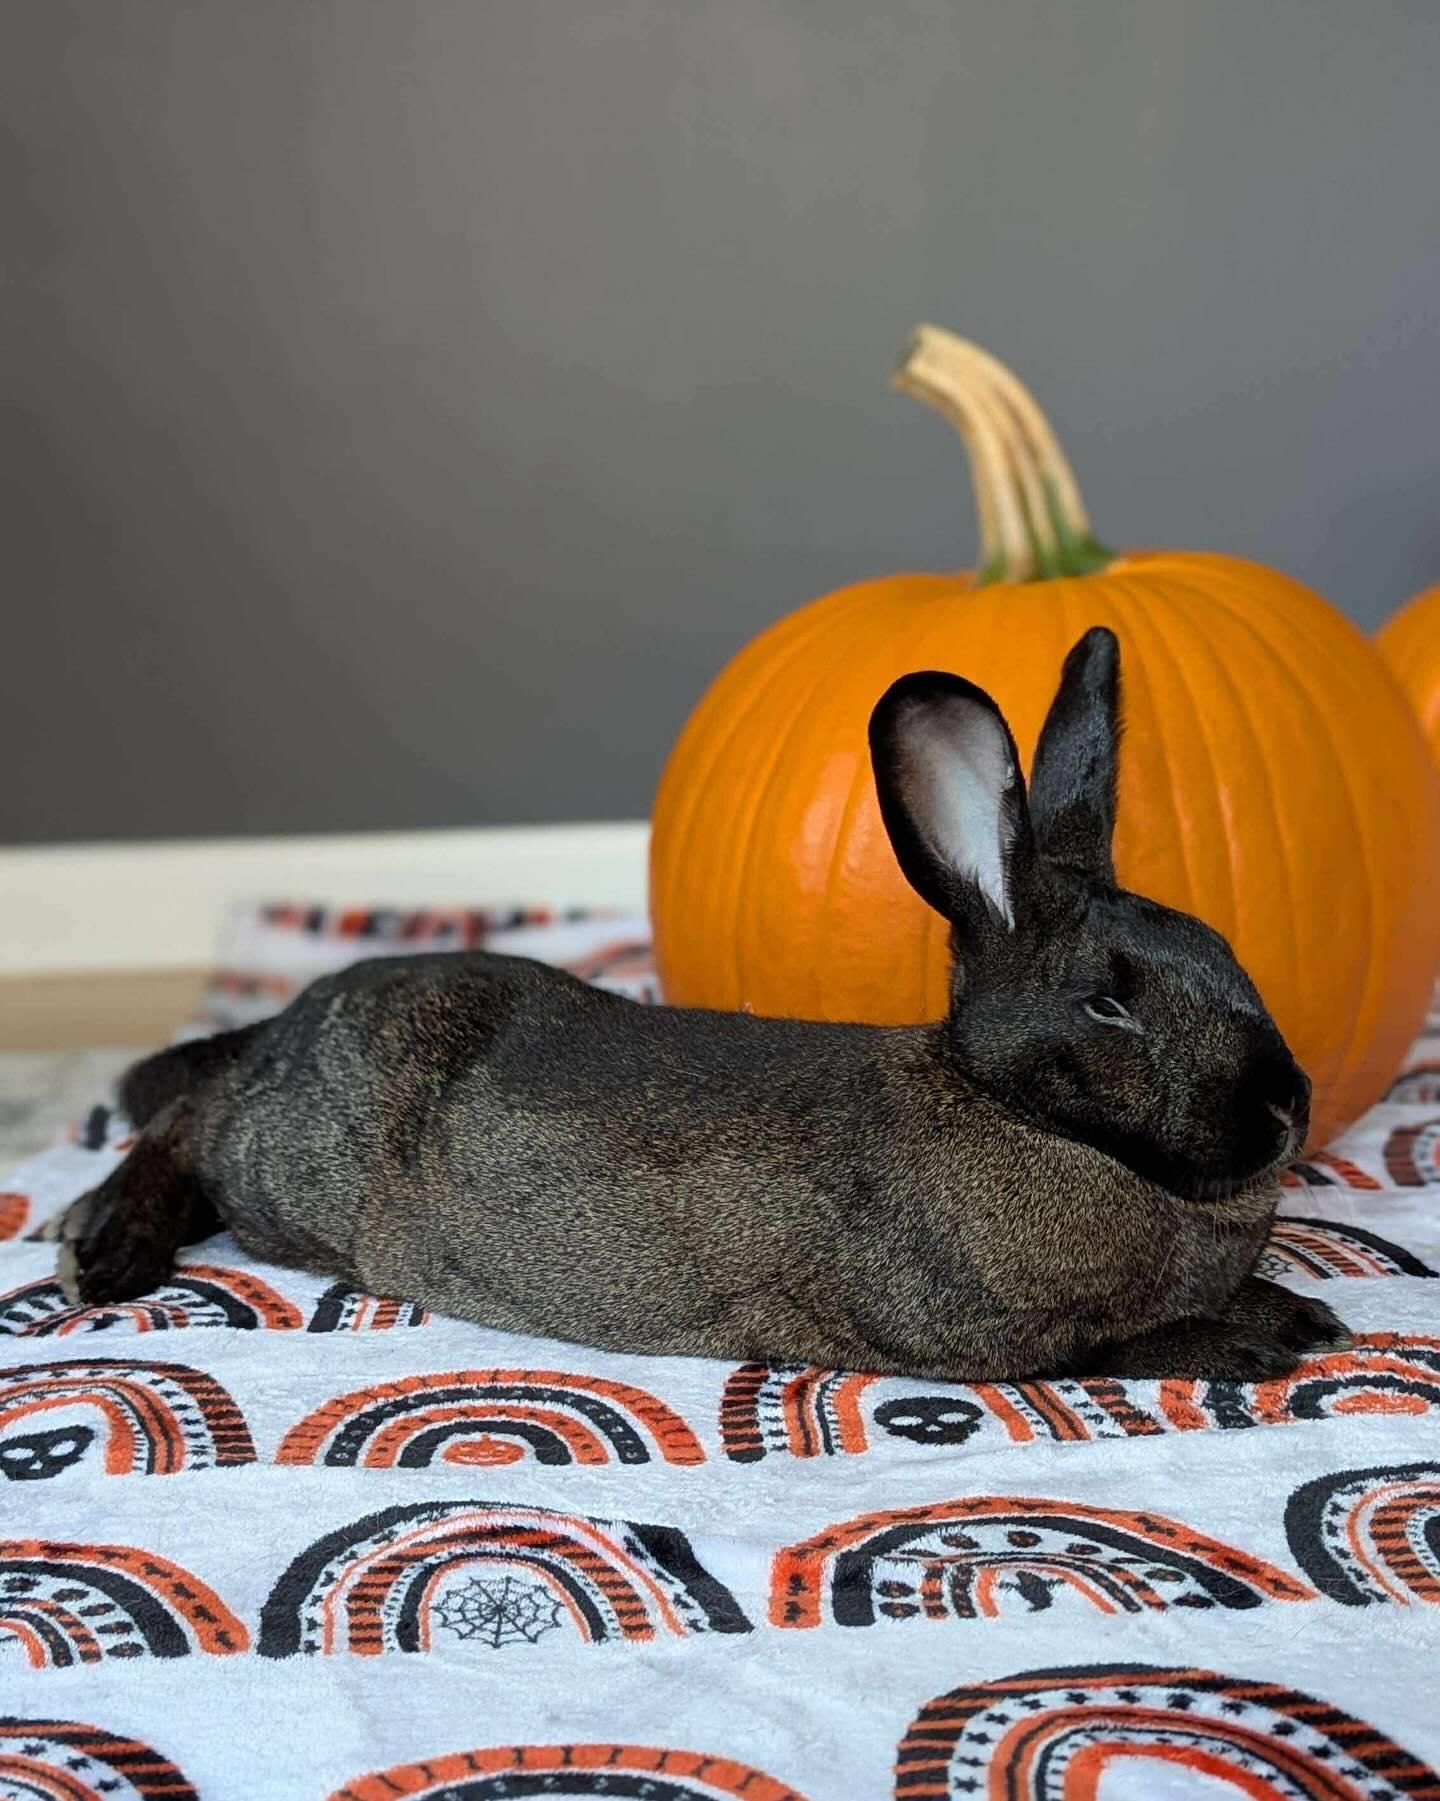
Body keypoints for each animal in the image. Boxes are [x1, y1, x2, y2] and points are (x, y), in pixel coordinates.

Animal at [52, 627, 1349, 1382]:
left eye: (1224, 946)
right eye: (1108, 1006)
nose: (1289, 1106)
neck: (1011, 1110)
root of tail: (299, 1017)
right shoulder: (983, 1336)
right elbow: (1123, 1347)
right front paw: (1281, 1331)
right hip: (283, 1168)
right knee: (187, 1118)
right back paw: (103, 1248)